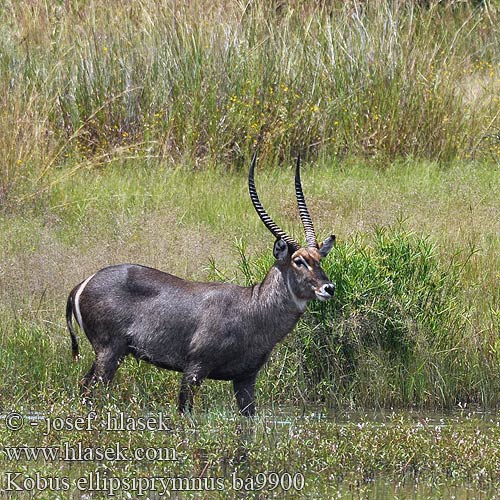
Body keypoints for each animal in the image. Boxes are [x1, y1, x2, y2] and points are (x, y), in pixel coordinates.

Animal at [65, 153, 332, 418]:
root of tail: (81, 284)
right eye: (298, 261)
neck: (253, 307)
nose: (328, 288)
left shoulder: (246, 378)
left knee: (83, 388)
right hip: (109, 351)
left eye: (319, 259)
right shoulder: (195, 369)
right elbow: (185, 413)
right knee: (91, 391)